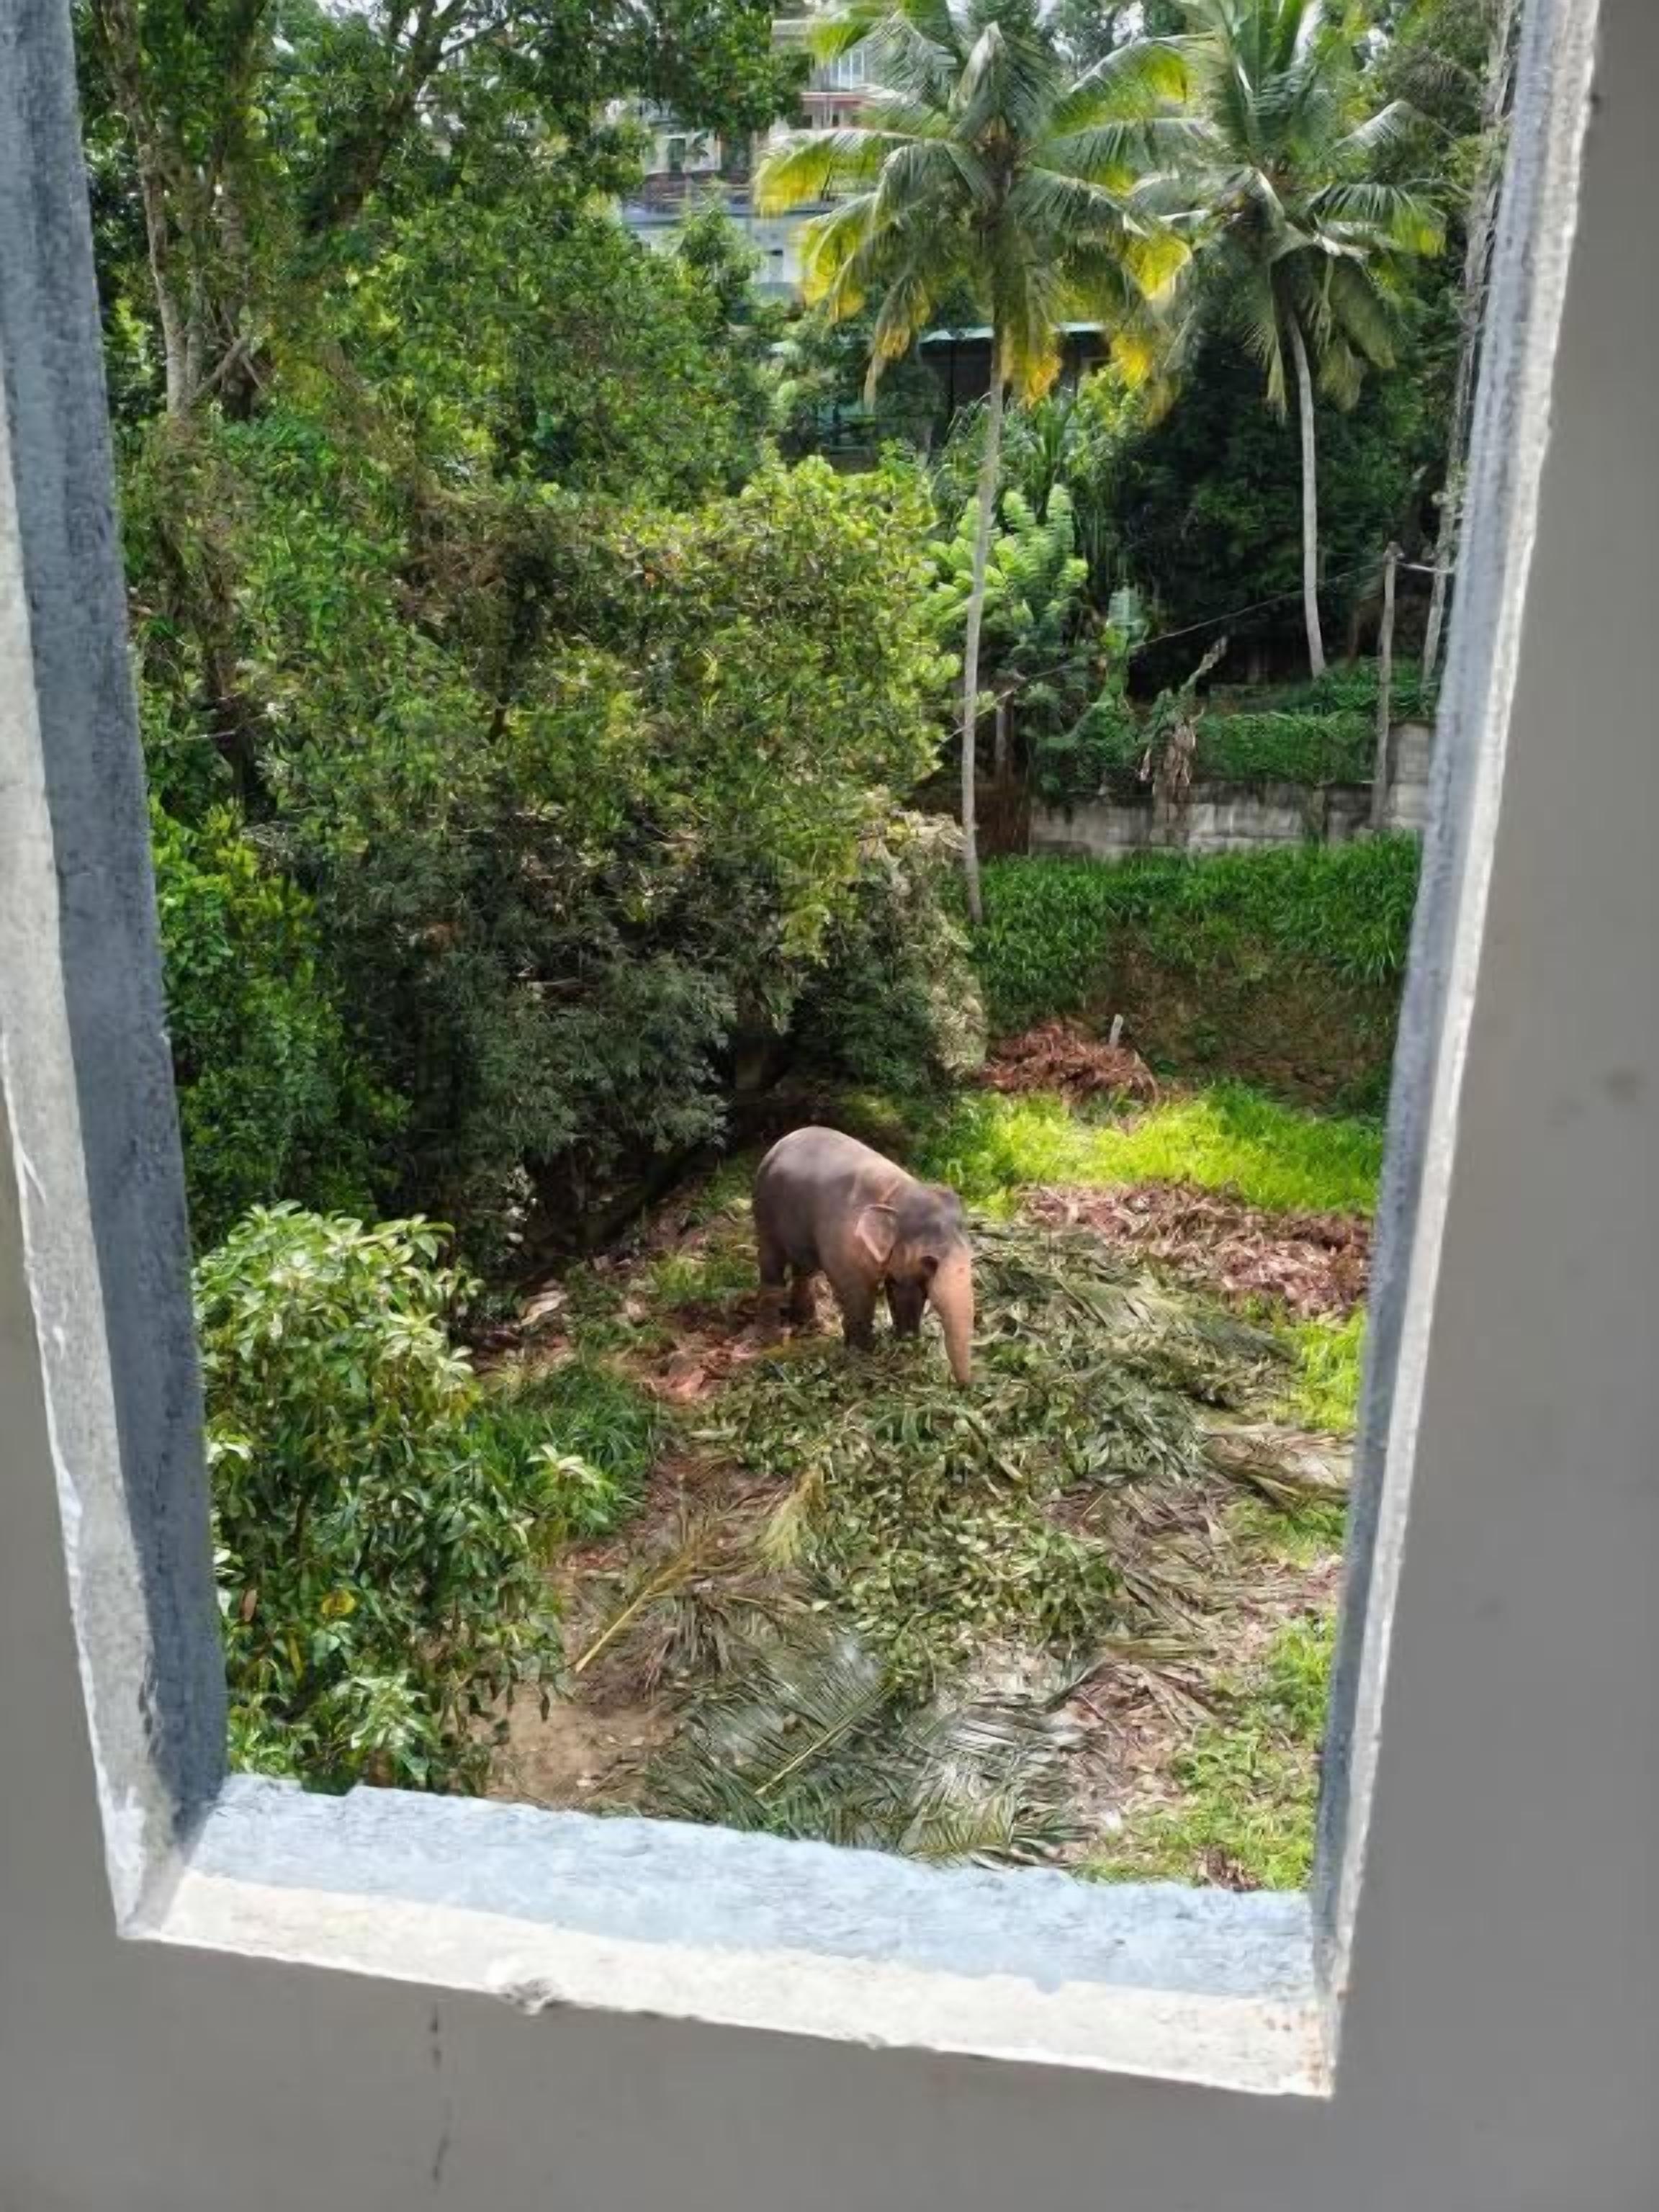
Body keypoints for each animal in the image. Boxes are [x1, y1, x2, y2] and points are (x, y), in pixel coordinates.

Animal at [752, 1126, 974, 1385]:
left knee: (804, 1269)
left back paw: (808, 1324)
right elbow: (858, 1293)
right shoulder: (844, 1241)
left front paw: (907, 1342)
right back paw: (771, 1339)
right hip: (764, 1209)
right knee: (772, 1262)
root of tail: (778, 1144)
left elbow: (904, 1292)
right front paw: (864, 1354)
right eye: (930, 1262)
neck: (897, 1192)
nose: (964, 1387)